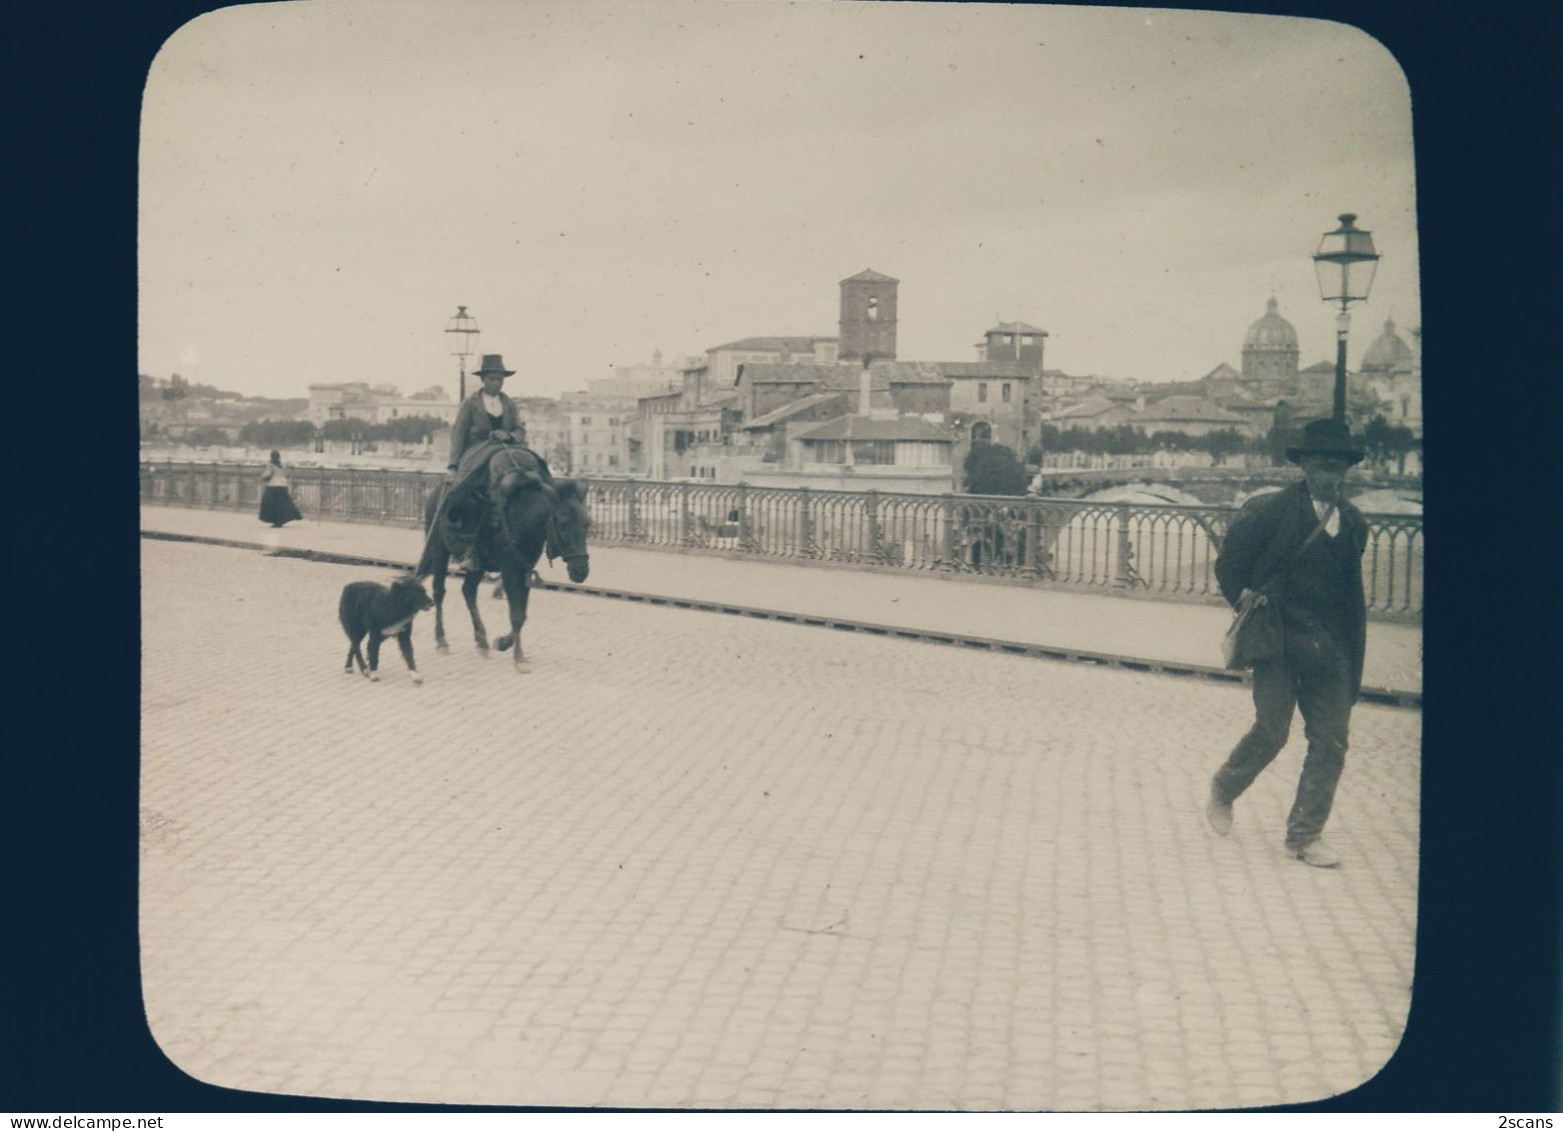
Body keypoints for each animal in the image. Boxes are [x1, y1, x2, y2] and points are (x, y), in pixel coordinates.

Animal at [418, 446, 587, 668]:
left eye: (587, 523)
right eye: (564, 523)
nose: (581, 570)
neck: (523, 514)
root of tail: (436, 493)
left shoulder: (525, 568)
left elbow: (522, 613)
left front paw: (505, 643)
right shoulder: (509, 568)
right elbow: (516, 613)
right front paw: (518, 657)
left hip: (478, 564)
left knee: (468, 591)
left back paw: (481, 640)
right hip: (440, 551)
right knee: (439, 591)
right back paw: (442, 640)